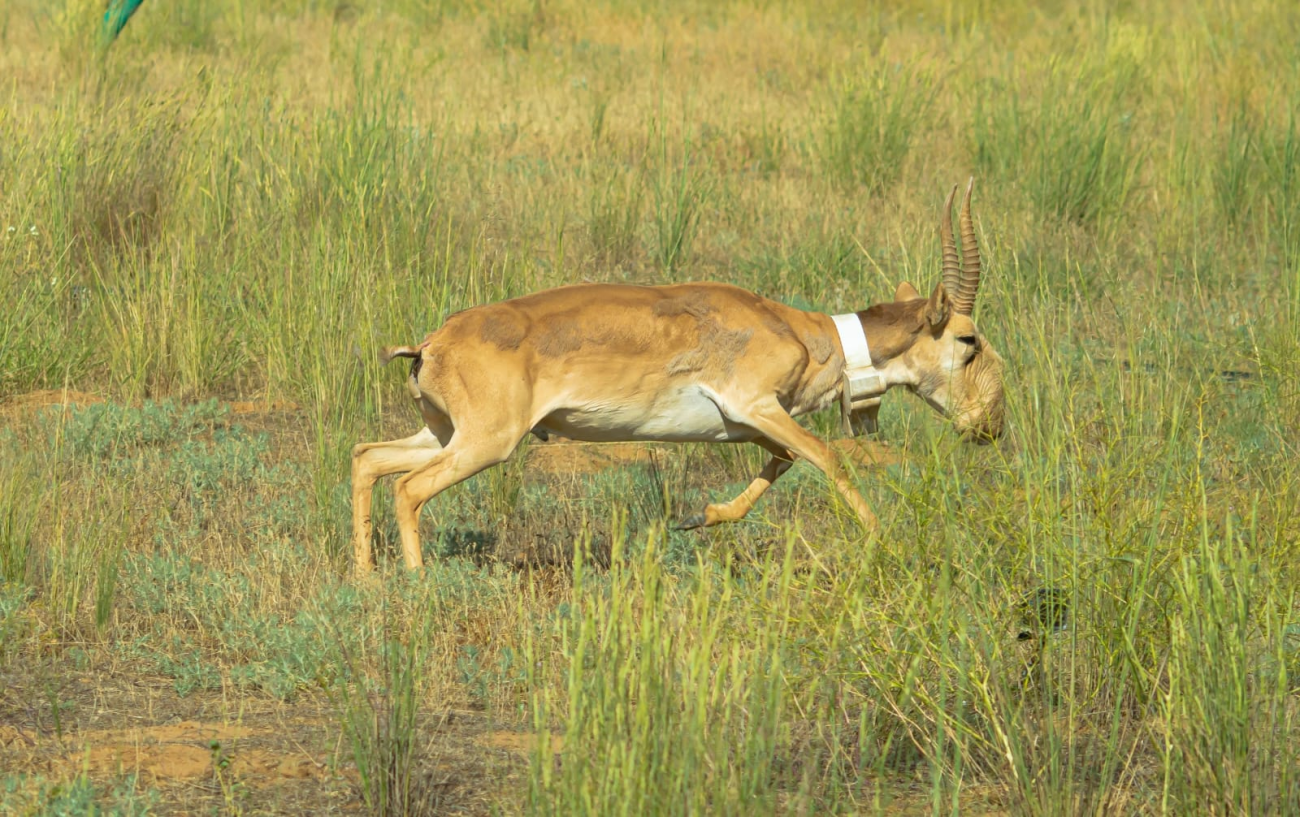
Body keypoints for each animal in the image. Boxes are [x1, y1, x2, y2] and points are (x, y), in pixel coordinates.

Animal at [351, 178, 998, 575]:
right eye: (968, 339)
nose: (990, 425)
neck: (804, 332)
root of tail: (430, 343)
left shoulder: (753, 425)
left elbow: (784, 461)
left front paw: (697, 518)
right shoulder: (756, 405)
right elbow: (826, 457)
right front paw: (887, 544)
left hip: (442, 432)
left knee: (368, 459)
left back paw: (367, 578)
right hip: (487, 443)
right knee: (408, 488)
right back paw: (416, 583)